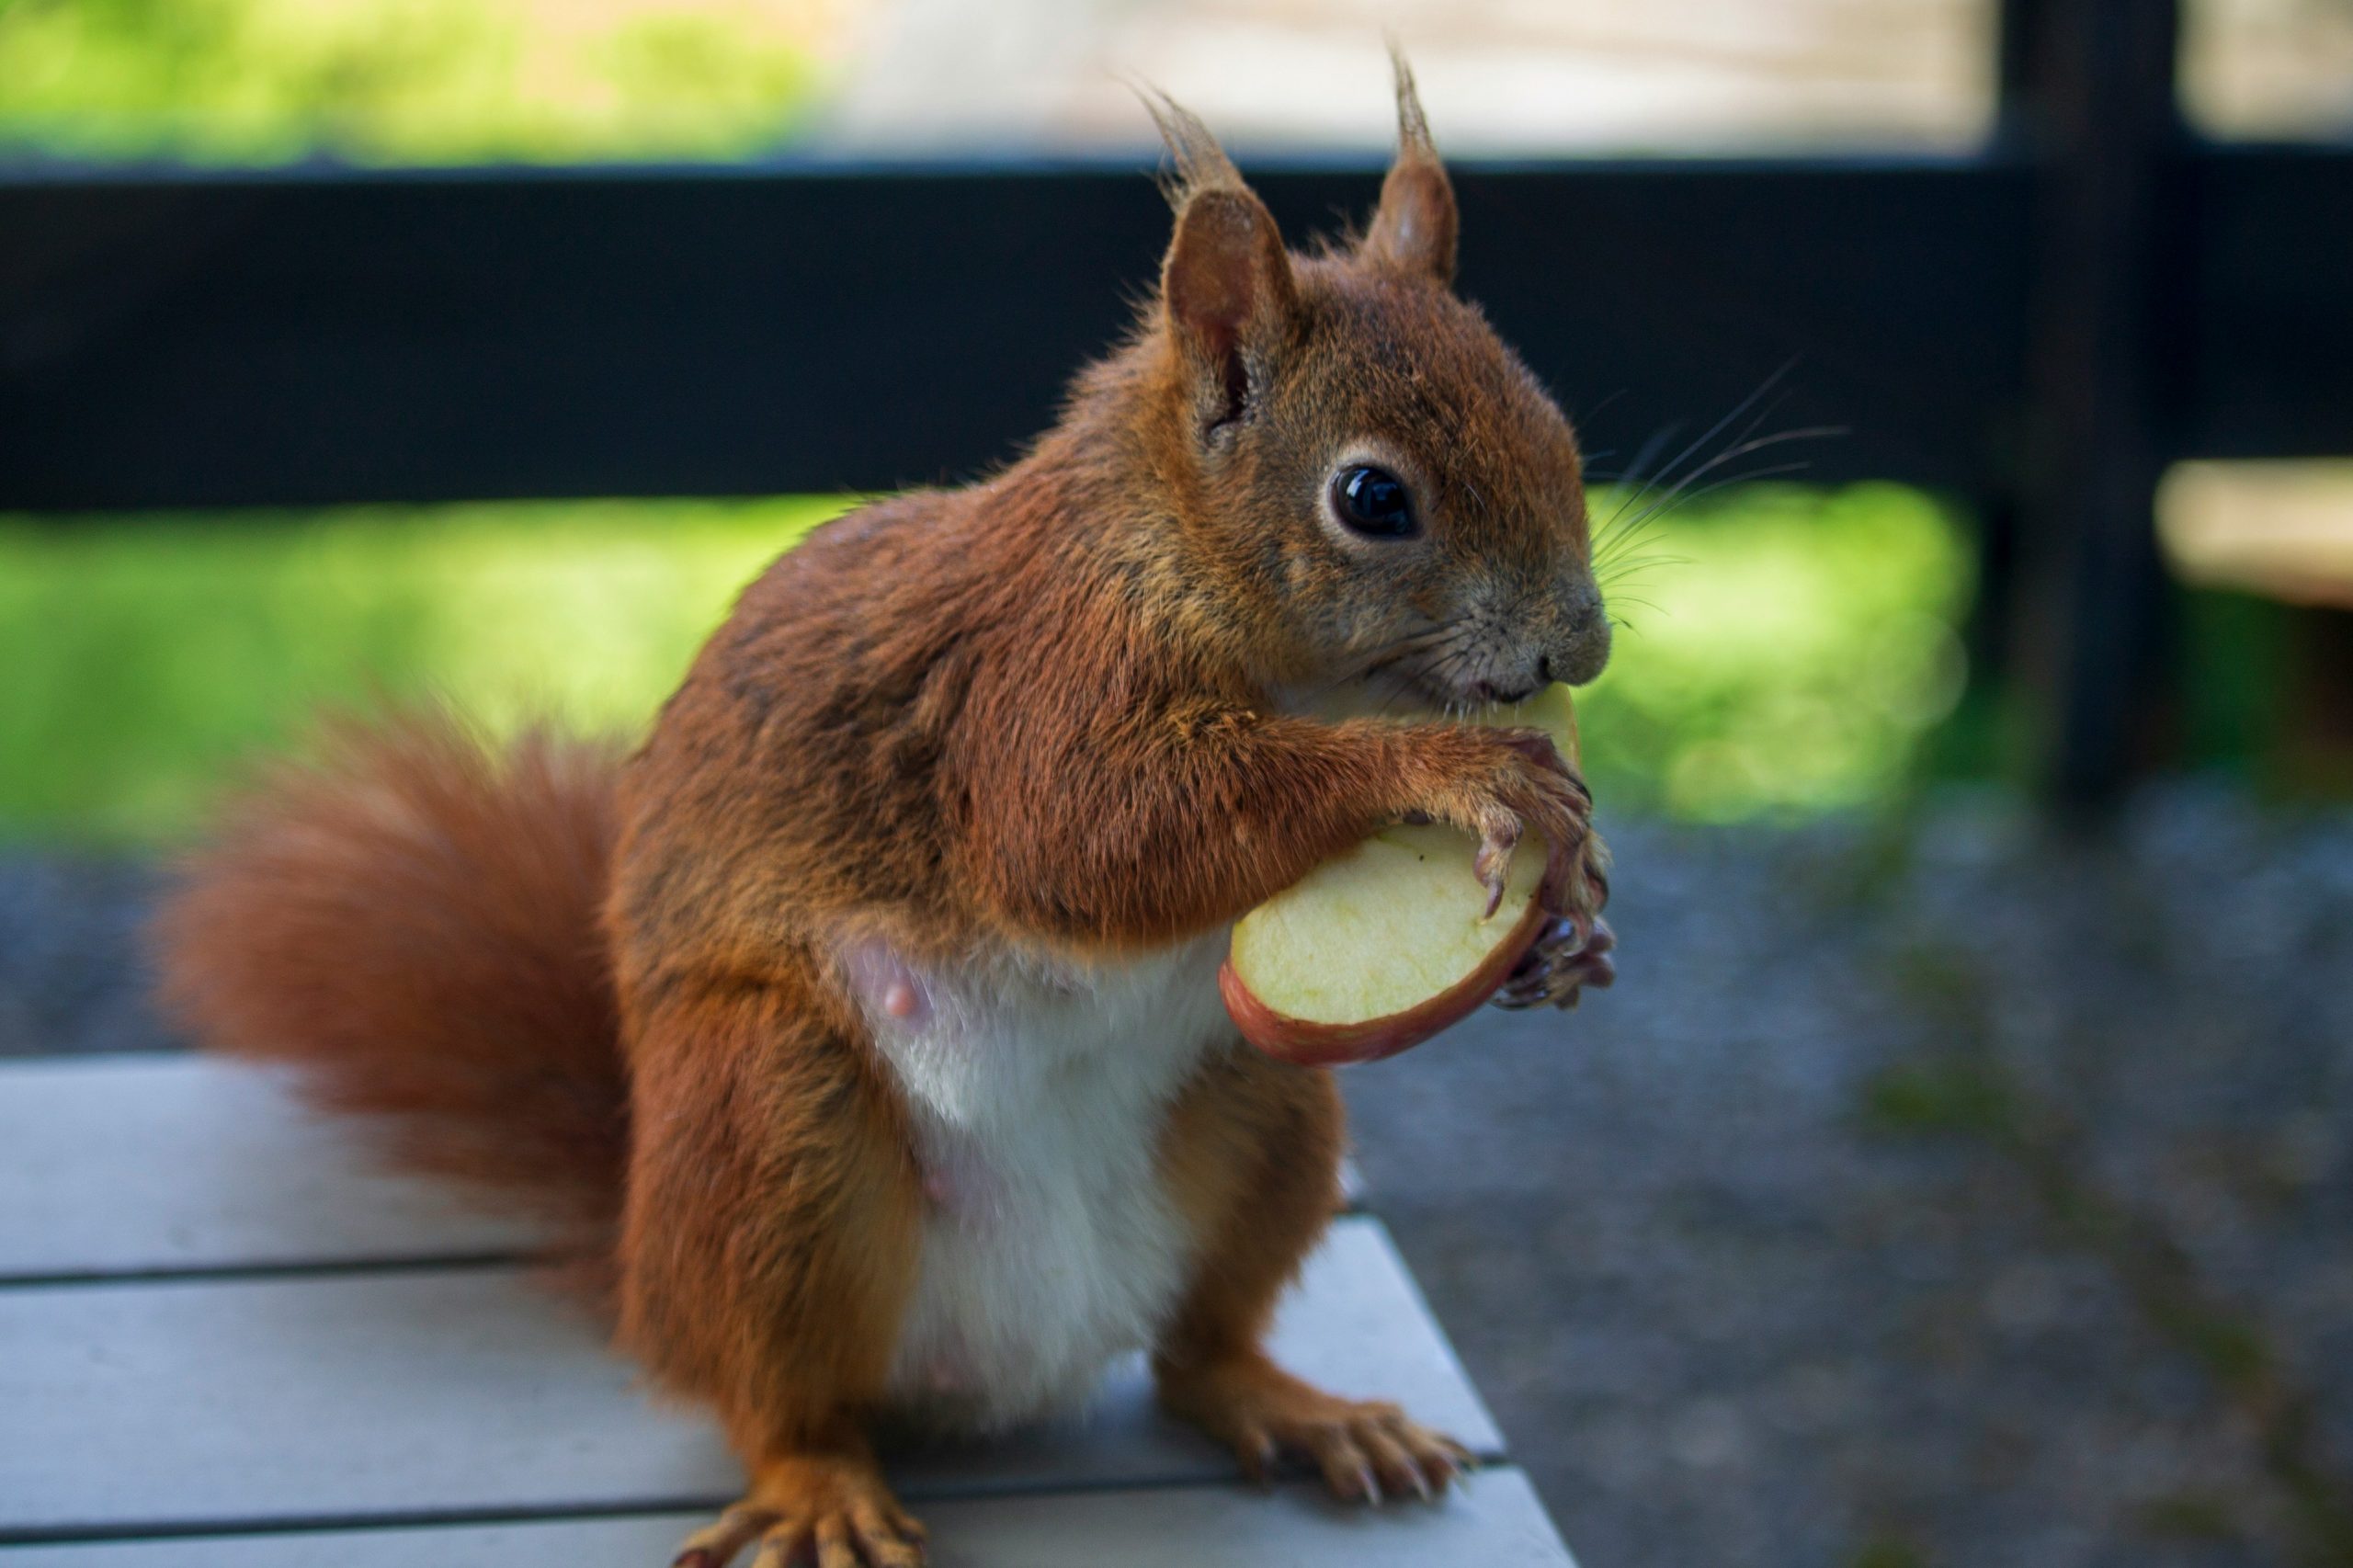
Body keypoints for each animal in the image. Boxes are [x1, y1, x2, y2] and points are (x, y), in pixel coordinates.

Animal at [155, 59, 1613, 1568]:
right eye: (1371, 497)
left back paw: (1299, 1405)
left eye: (1554, 426)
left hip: (1268, 1112)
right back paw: (817, 1485)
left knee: (1196, 1352)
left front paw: (1573, 937)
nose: (1581, 648)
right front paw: (1454, 771)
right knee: (777, 1395)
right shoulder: (1029, 686)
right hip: (767, 1124)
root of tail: (1011, 1363)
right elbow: (1094, 834)